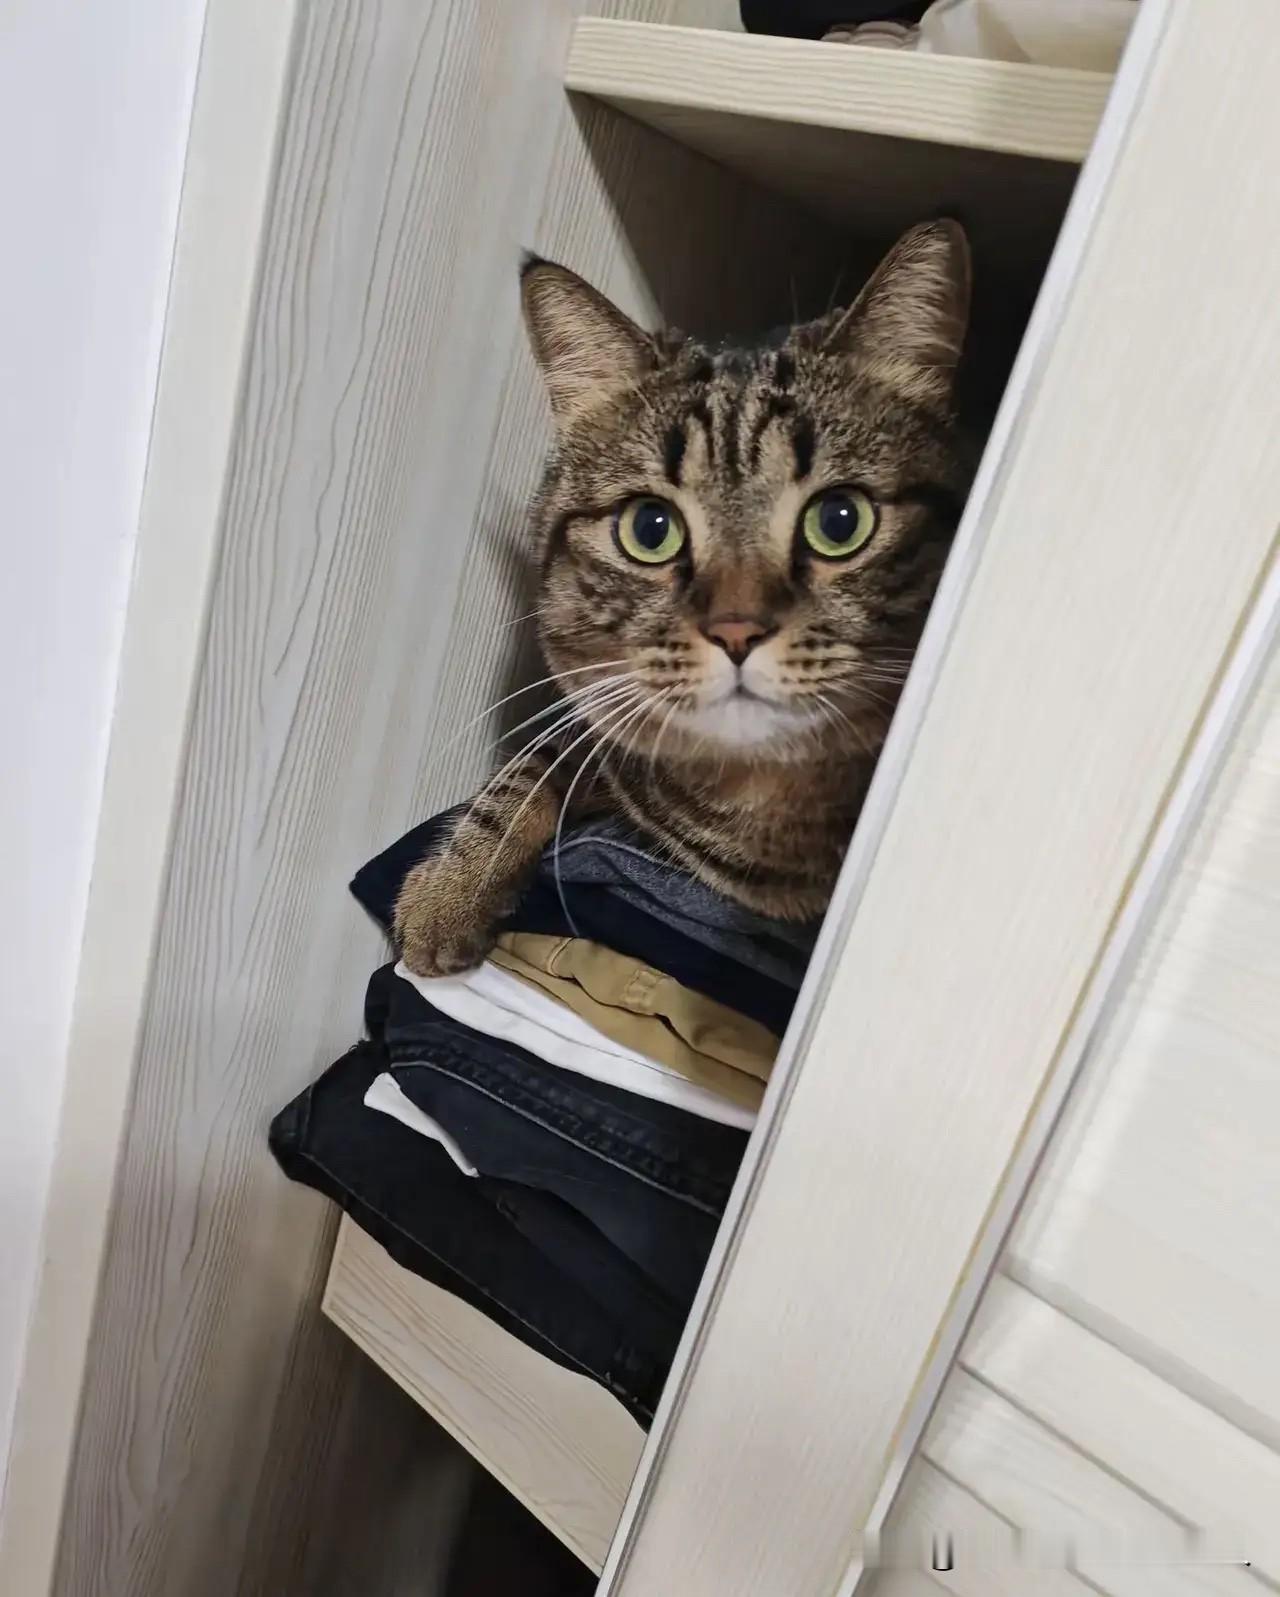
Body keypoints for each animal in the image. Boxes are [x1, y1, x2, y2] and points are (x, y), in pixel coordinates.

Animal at [396, 220, 973, 978]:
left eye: (840, 520)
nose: (736, 630)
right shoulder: (592, 718)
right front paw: (448, 893)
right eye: (650, 529)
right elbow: (522, 776)